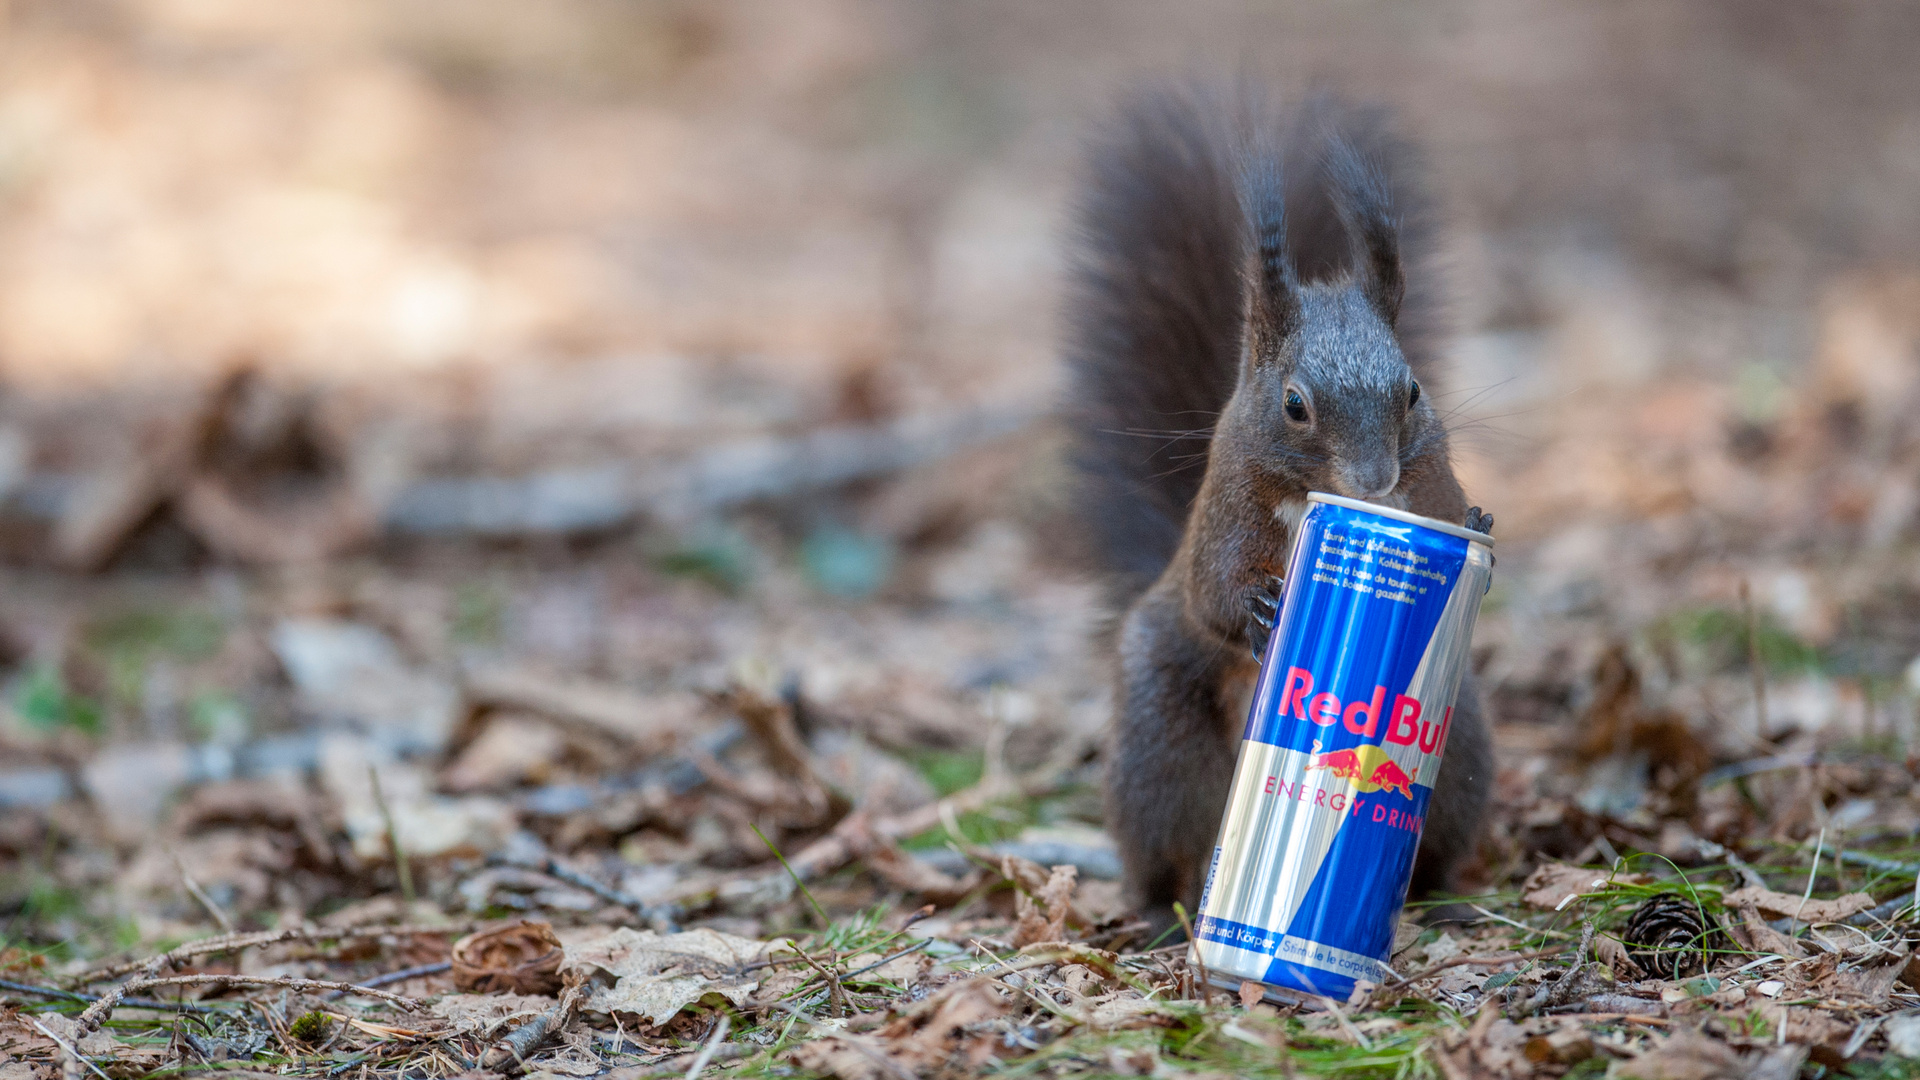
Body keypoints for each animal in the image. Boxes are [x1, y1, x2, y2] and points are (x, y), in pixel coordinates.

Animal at [1067, 88, 1497, 930]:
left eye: (1413, 391)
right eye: (1294, 404)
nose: (1373, 482)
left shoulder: (1429, 478)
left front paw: (1477, 530)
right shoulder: (1227, 511)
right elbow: (1213, 593)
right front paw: (1264, 608)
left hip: (1458, 738)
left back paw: (1438, 900)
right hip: (1159, 750)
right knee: (1161, 848)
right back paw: (1159, 917)